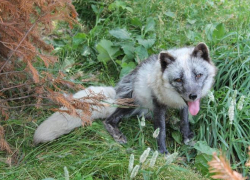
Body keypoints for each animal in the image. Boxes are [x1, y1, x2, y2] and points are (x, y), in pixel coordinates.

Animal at [33, 43, 217, 154]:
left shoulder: (184, 104)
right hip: (133, 101)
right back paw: (117, 135)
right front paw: (163, 152)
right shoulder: (157, 103)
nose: (193, 95)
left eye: (198, 75)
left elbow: (185, 120)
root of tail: (116, 93)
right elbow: (161, 131)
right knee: (108, 120)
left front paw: (187, 137)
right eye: (178, 79)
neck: (172, 98)